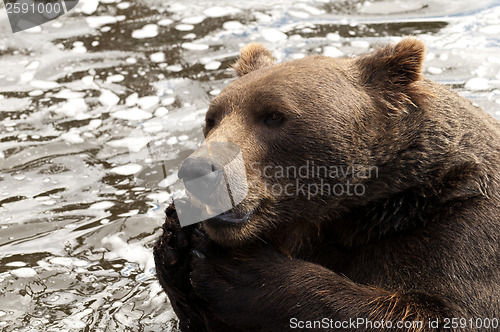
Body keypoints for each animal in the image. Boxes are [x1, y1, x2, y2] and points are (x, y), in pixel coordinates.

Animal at [153, 37, 500, 330]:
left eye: (274, 115)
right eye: (212, 118)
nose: (197, 170)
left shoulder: (458, 230)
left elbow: (441, 312)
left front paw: (237, 267)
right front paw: (176, 239)